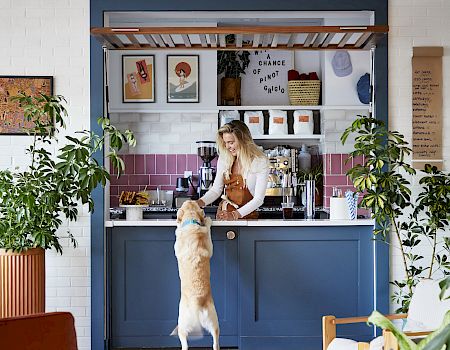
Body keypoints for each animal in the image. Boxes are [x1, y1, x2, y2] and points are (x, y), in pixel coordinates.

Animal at [172, 200, 220, 350]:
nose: (189, 199)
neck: (191, 221)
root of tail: (196, 303)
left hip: (182, 326)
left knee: (184, 344)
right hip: (214, 323)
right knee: (215, 342)